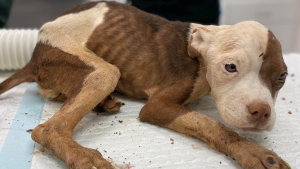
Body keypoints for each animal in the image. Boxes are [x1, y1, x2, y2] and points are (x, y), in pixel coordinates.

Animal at [0, 1, 290, 169]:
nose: (261, 112)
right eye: (230, 67)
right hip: (103, 71)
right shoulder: (158, 105)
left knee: (54, 93)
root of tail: (34, 54)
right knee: (47, 129)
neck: (200, 54)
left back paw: (103, 103)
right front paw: (256, 153)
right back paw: (85, 157)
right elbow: (214, 125)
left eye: (282, 77)